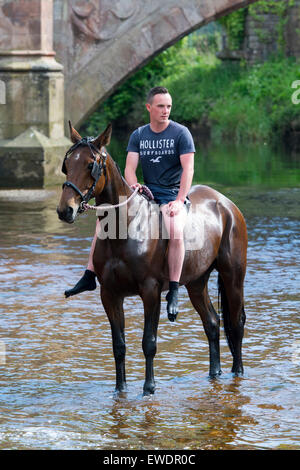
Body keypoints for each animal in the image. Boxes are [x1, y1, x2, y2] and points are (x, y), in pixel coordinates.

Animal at [57, 123, 247, 394]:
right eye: (67, 163)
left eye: (91, 164)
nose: (66, 210)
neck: (126, 228)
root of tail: (225, 204)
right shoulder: (110, 294)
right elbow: (118, 345)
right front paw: (120, 388)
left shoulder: (150, 291)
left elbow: (149, 342)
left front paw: (149, 386)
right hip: (196, 282)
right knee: (212, 323)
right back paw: (215, 372)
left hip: (233, 277)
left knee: (237, 323)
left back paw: (237, 371)